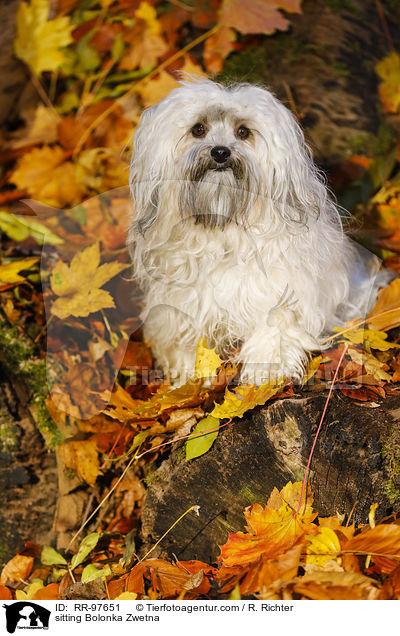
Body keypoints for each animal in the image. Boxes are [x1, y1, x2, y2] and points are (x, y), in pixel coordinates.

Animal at [129, 81, 382, 386]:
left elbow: (274, 328)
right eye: (198, 129)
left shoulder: (277, 291)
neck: (223, 229)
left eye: (243, 132)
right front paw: (189, 378)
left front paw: (267, 370)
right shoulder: (182, 304)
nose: (220, 152)